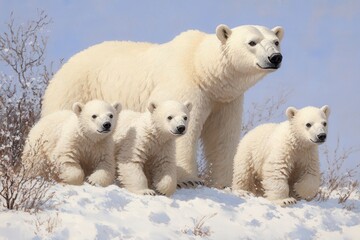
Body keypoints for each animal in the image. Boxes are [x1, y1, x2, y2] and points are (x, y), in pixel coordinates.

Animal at [41, 23, 284, 188]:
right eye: (252, 42)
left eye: (276, 41)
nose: (275, 57)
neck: (201, 69)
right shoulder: (184, 85)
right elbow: (185, 130)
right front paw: (187, 180)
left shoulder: (225, 100)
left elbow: (223, 136)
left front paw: (223, 183)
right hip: (75, 89)